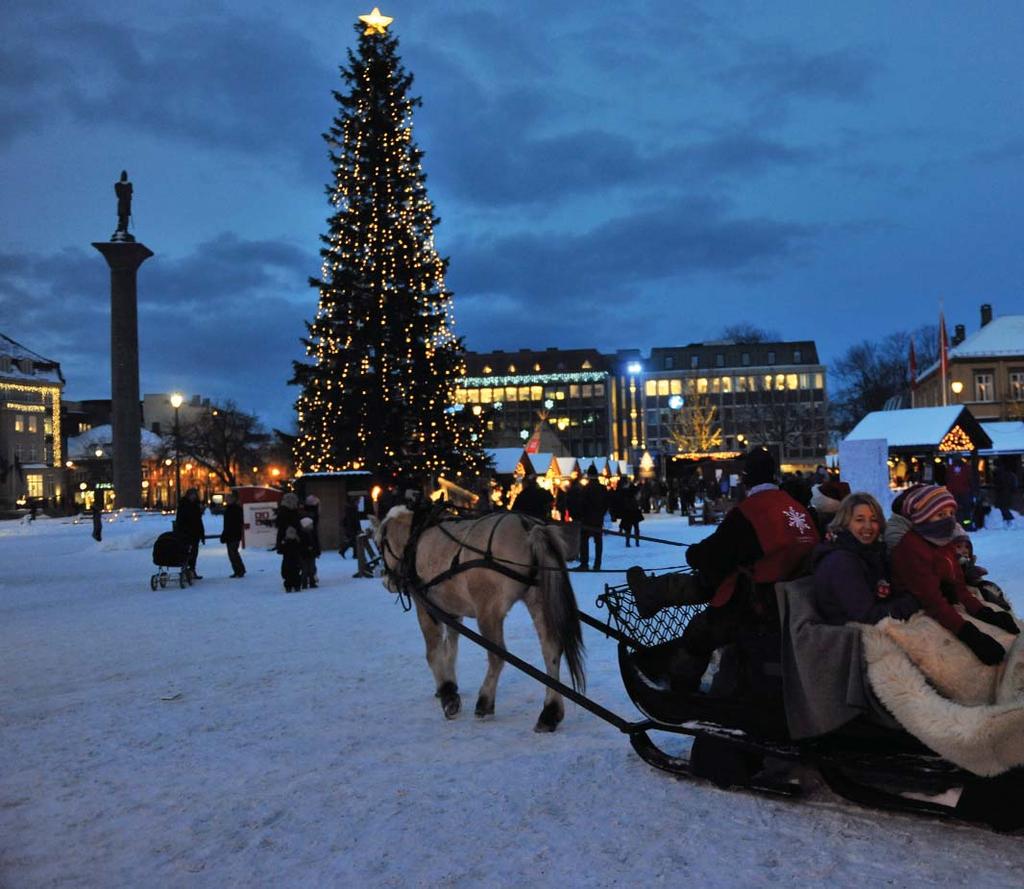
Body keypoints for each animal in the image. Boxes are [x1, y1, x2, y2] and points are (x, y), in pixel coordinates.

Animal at [376, 503, 585, 733]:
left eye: (379, 545)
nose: (386, 581)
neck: (416, 539)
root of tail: (529, 527)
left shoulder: (426, 607)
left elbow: (433, 652)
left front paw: (448, 693)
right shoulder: (452, 610)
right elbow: (450, 649)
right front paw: (449, 684)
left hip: (488, 612)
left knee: (497, 655)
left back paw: (485, 701)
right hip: (538, 600)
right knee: (551, 650)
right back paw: (550, 712)